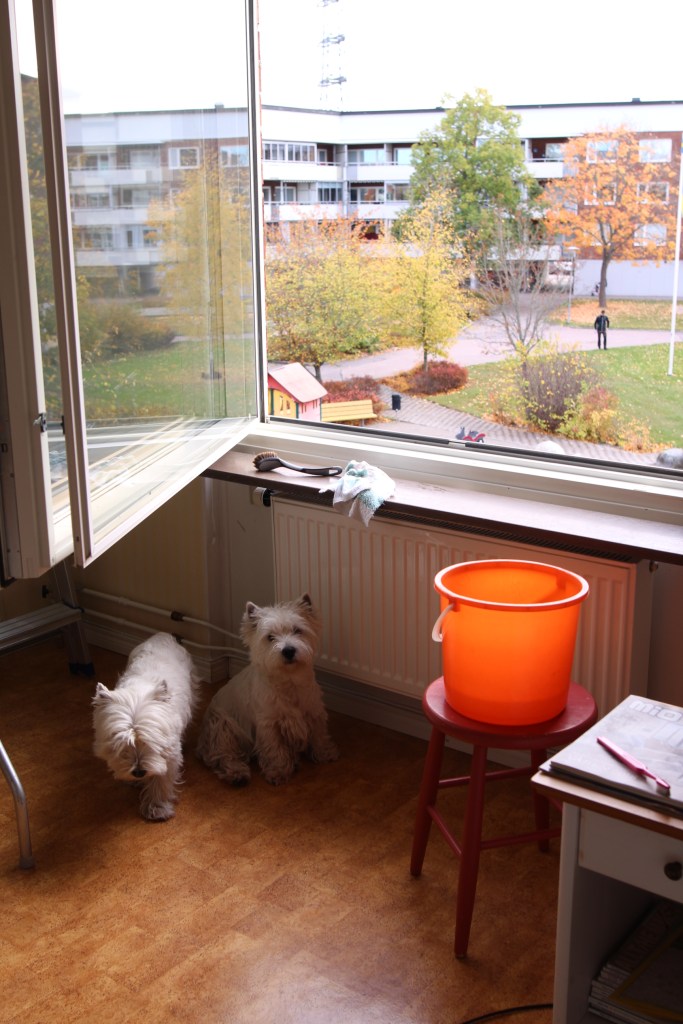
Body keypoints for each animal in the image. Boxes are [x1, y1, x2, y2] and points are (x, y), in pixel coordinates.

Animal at [92, 632, 199, 821]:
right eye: (121, 744)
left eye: (151, 743)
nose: (139, 772)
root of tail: (163, 635)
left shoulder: (170, 753)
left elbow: (161, 780)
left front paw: (156, 808)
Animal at [196, 594, 338, 786]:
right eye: (270, 637)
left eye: (297, 630)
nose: (288, 650)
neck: (289, 681)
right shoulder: (269, 723)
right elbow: (275, 748)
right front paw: (278, 771)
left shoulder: (313, 711)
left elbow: (319, 734)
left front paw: (326, 753)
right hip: (223, 727)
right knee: (223, 755)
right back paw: (237, 774)